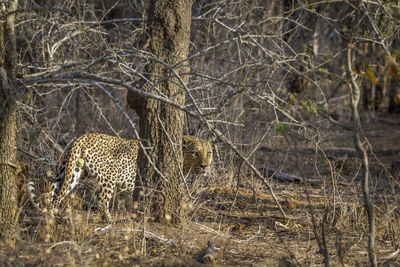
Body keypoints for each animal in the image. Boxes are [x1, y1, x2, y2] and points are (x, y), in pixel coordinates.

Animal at [32, 133, 212, 223]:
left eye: (209, 153)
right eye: (195, 153)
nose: (205, 166)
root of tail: (82, 138)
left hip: (74, 172)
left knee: (52, 194)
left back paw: (50, 215)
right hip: (109, 177)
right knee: (101, 201)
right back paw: (109, 221)